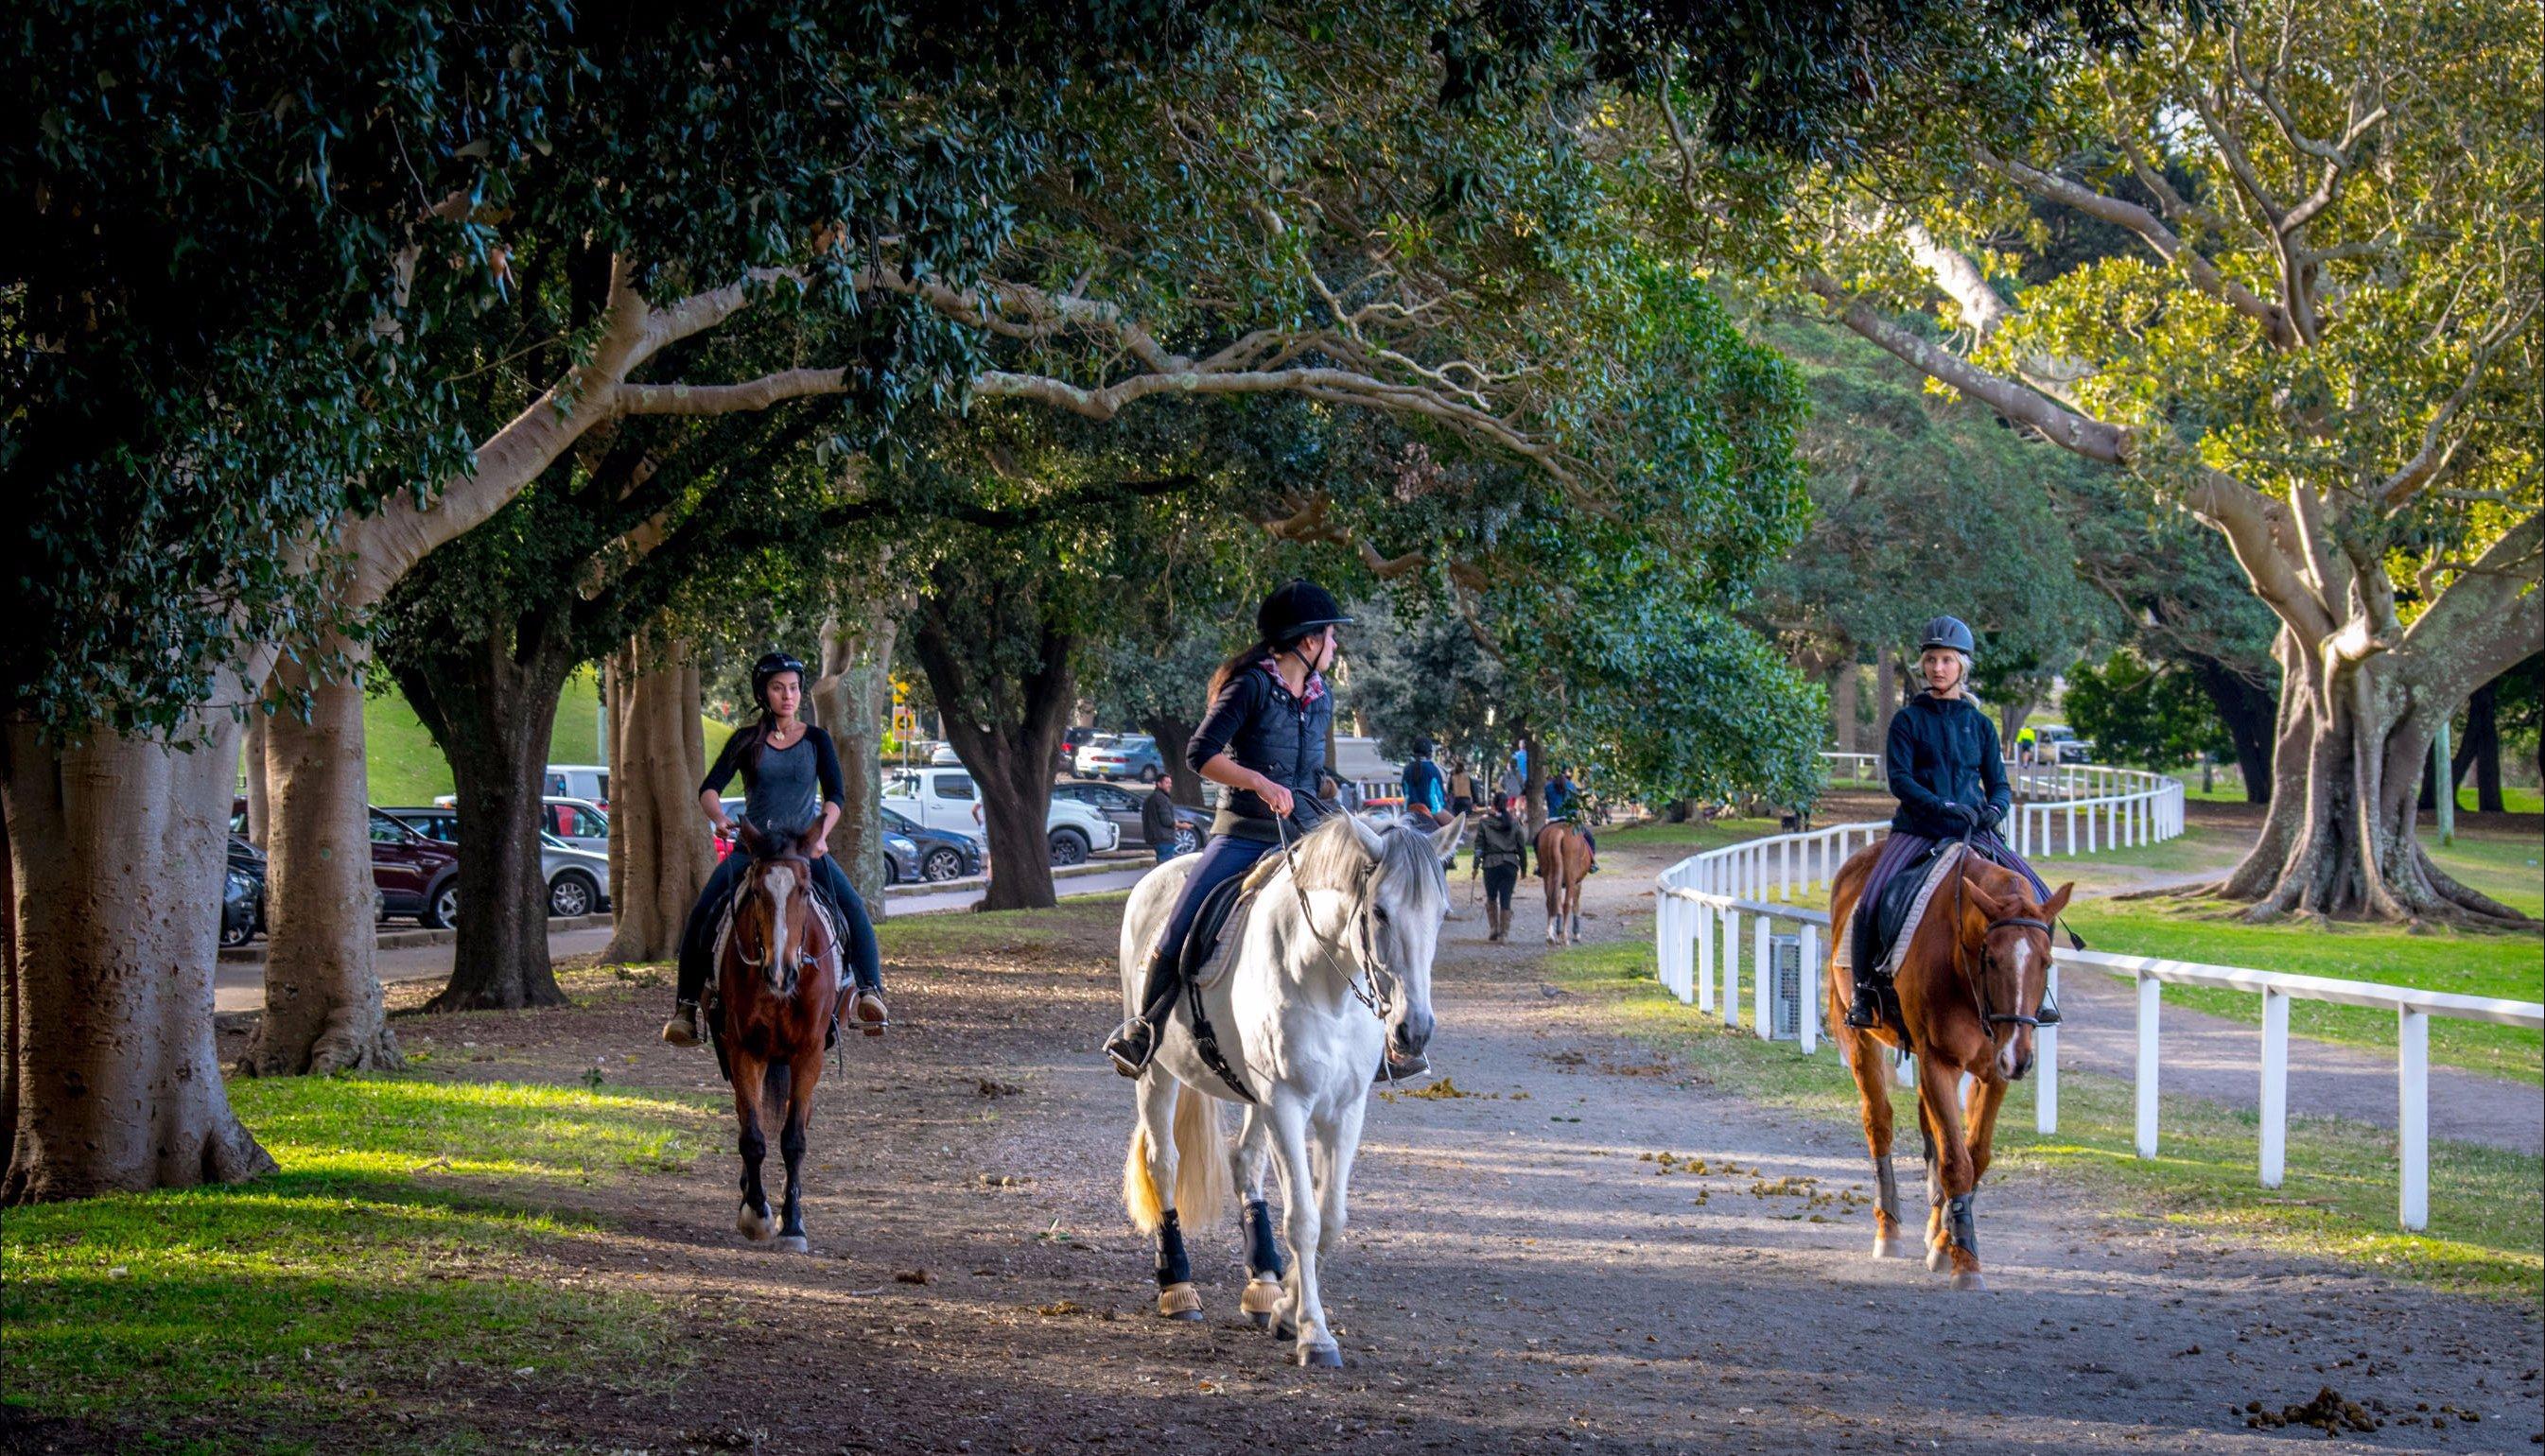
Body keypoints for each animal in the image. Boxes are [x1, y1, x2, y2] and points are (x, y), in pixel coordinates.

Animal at [712, 824, 849, 1257]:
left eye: (804, 890)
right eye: (757, 891)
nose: (780, 970)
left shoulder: (808, 1054)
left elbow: (794, 1139)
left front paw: (793, 1223)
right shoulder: (742, 1049)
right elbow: (753, 1136)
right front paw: (756, 1213)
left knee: (800, 1119)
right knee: (746, 1116)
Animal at [1114, 814, 1456, 1374]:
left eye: (1442, 915)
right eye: (1379, 911)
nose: (1414, 1032)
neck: (1322, 980)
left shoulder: (1344, 1109)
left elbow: (1330, 1216)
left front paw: (1286, 1310)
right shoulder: (1287, 1104)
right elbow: (1303, 1219)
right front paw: (1314, 1333)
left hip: (1255, 1099)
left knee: (1244, 1163)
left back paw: (1264, 1281)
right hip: (1158, 1073)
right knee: (1163, 1162)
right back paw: (1177, 1285)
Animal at [1526, 819, 1588, 942]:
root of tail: (1559, 831)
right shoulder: (1577, 882)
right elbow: (1576, 904)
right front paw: (1577, 933)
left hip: (1548, 876)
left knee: (1551, 900)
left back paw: (1551, 935)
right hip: (1570, 879)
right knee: (1567, 904)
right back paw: (1564, 936)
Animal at [1822, 844, 2056, 1292]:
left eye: (2047, 962)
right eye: (1992, 959)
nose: (2020, 1057)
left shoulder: (1992, 1071)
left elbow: (1973, 1155)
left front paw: (1948, 1241)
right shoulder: (1938, 1062)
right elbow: (1954, 1160)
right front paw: (1965, 1262)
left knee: (1929, 1127)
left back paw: (1934, 1225)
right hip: (1862, 1037)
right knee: (1879, 1122)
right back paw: (1889, 1230)